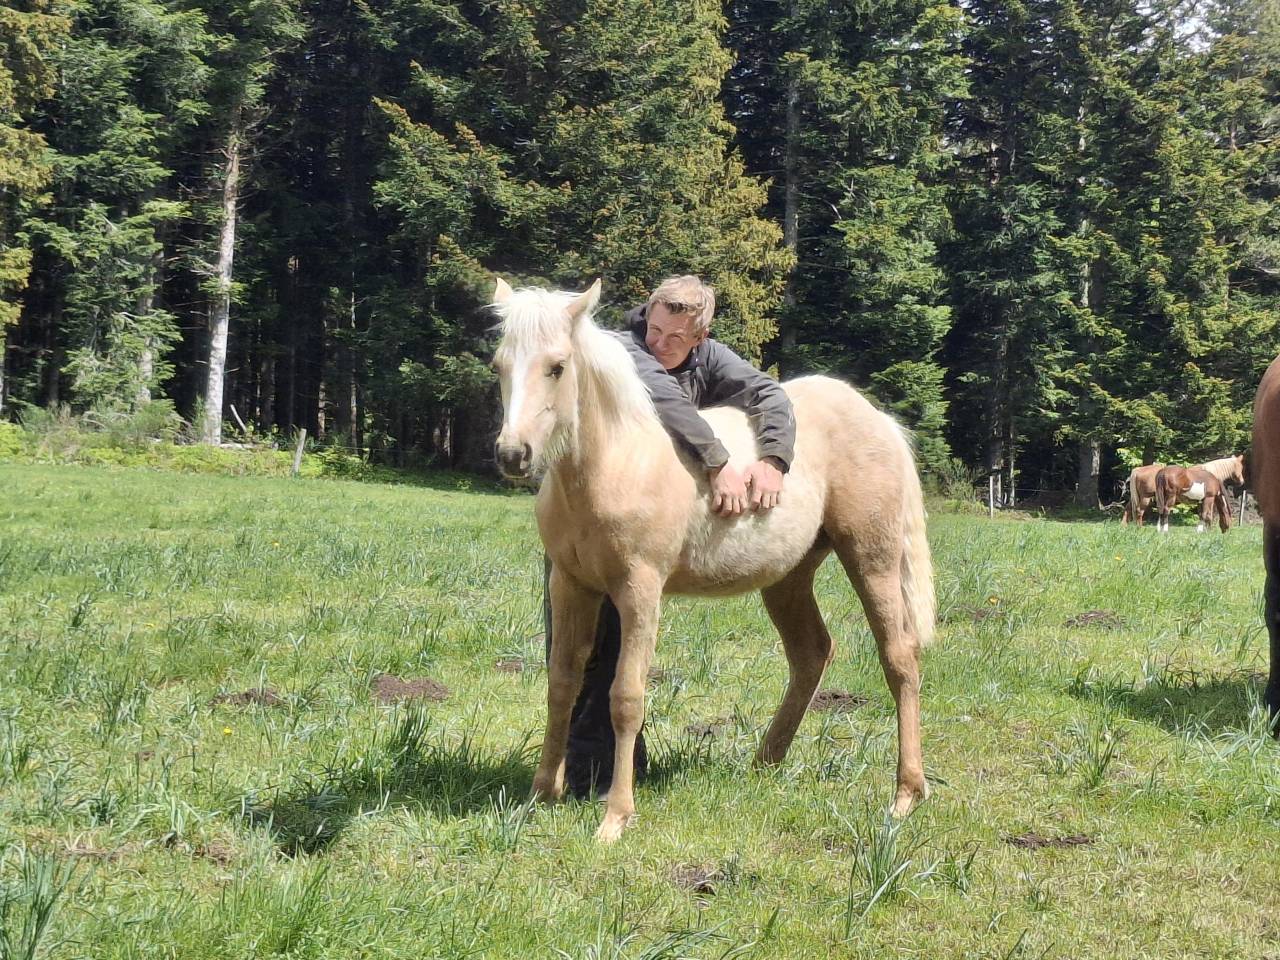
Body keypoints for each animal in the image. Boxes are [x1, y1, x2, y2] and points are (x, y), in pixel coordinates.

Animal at [490, 279, 935, 842]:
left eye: (557, 367)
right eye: (499, 364)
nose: (513, 455)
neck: (616, 460)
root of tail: (879, 420)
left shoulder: (640, 590)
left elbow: (626, 697)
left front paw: (616, 817)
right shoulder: (573, 585)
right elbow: (562, 683)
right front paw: (540, 794)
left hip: (872, 557)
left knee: (899, 658)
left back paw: (905, 796)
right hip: (788, 578)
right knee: (812, 653)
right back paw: (764, 764)